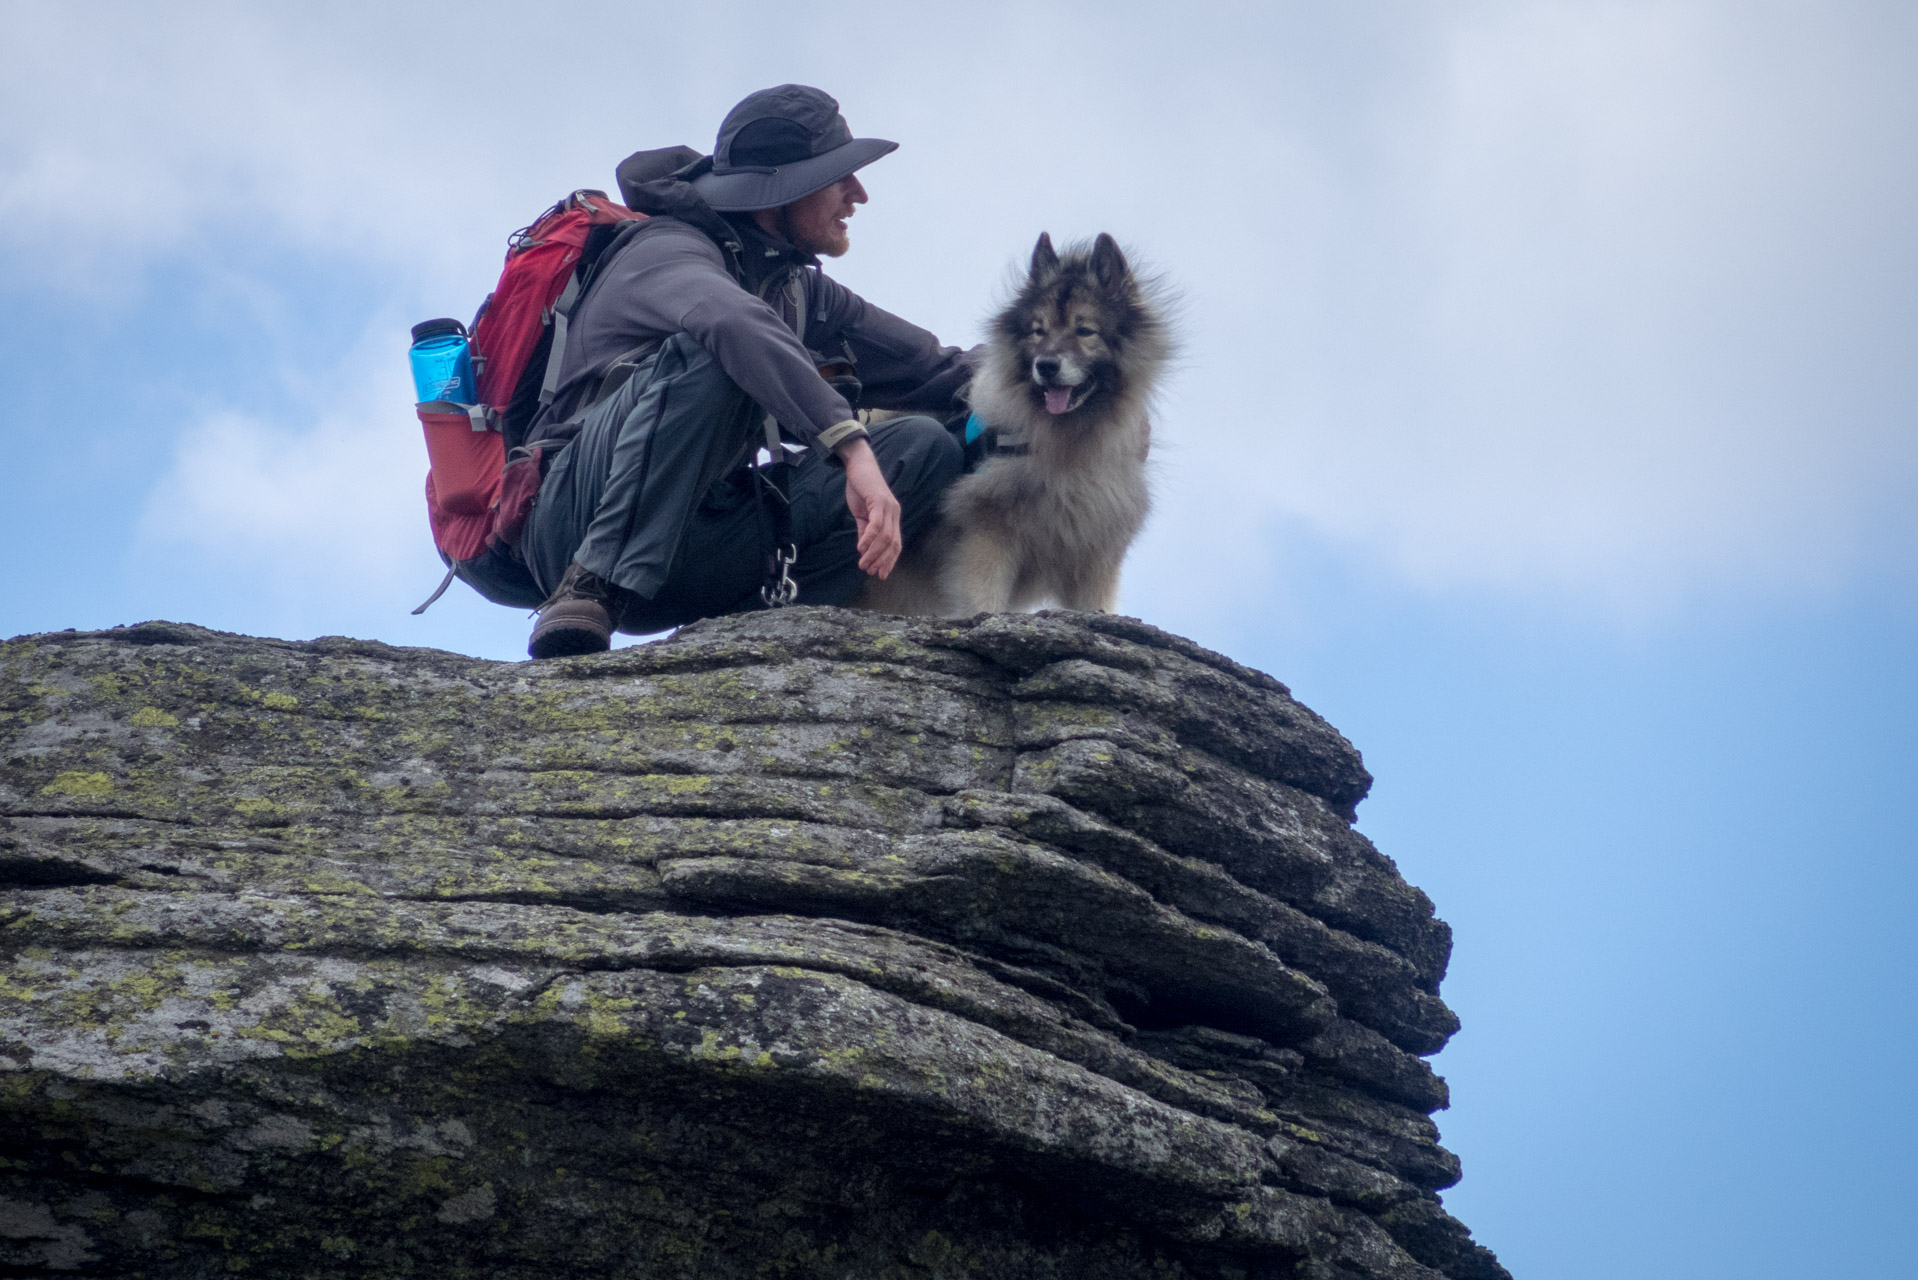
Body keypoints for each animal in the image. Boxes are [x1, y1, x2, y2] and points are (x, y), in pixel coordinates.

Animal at [866, 233, 1166, 617]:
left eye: (1085, 331)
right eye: (1038, 331)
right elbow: (983, 600)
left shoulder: (1094, 554)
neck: (1068, 448)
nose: (1047, 366)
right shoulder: (987, 537)